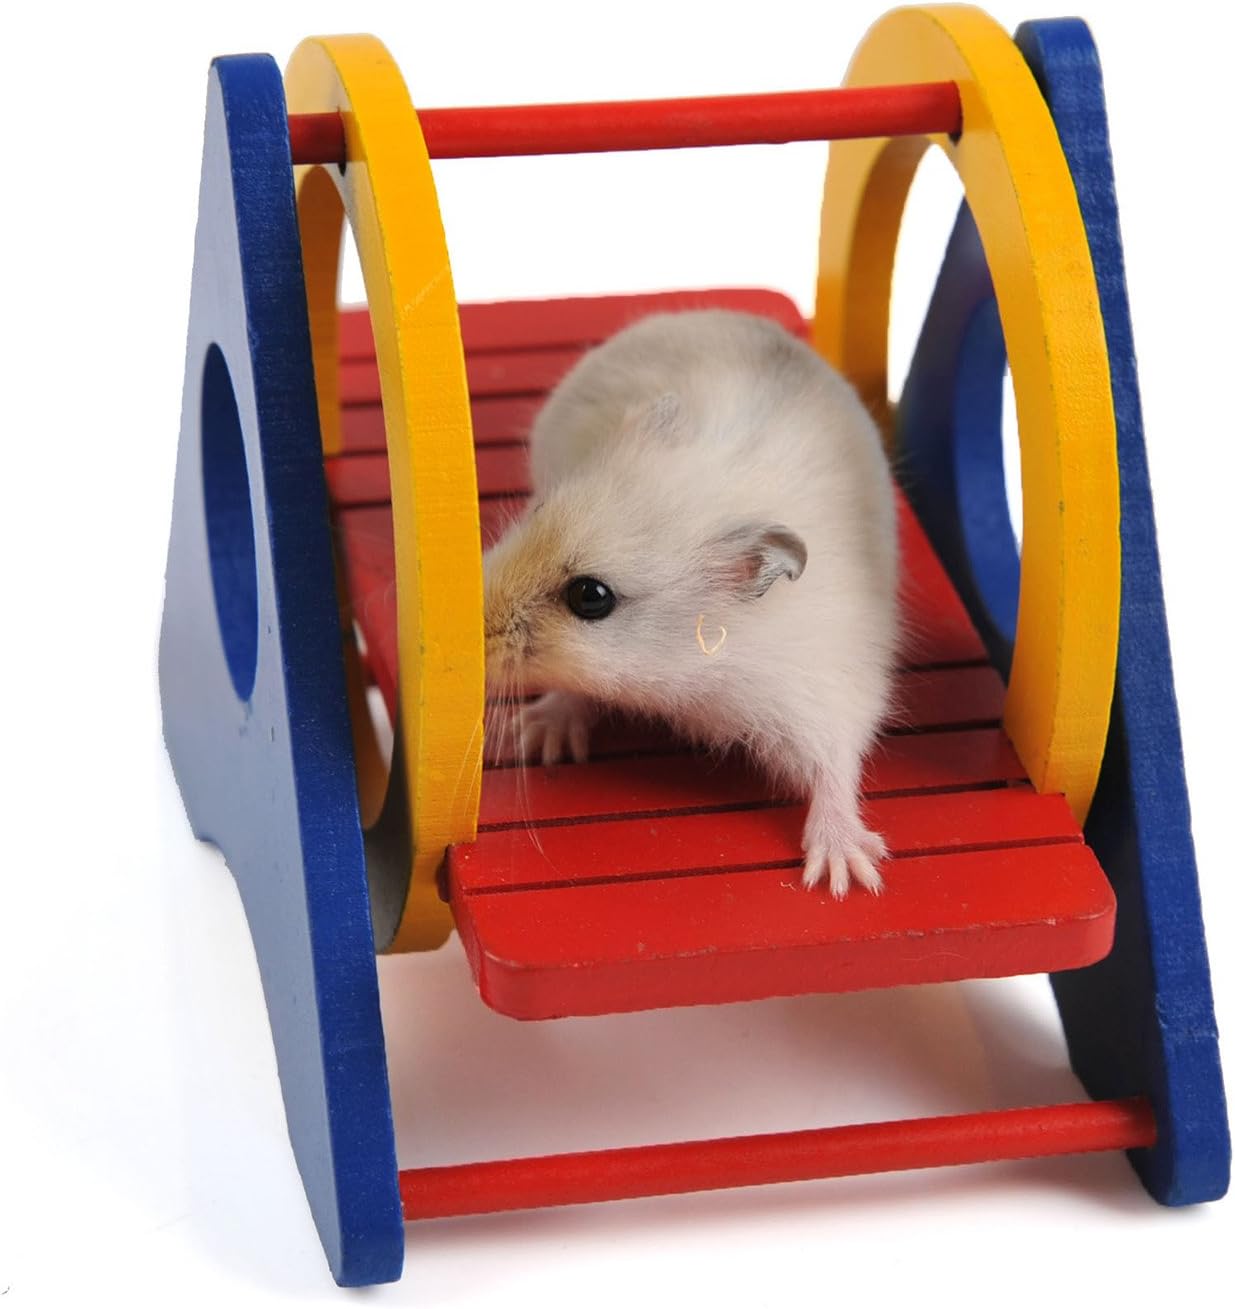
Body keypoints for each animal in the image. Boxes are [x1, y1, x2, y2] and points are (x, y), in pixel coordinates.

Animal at [483, 309, 899, 897]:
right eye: (538, 511)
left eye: (591, 597)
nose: (468, 633)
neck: (694, 670)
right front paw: (537, 737)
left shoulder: (827, 692)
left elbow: (834, 768)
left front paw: (845, 877)